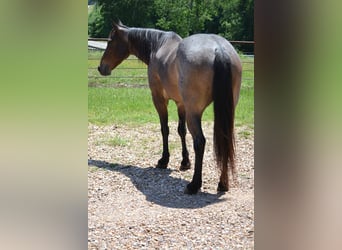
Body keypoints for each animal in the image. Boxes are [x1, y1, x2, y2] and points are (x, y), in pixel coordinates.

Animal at [97, 21, 242, 194]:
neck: (158, 45)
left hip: (194, 113)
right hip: (226, 111)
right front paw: (185, 162)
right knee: (224, 139)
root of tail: (219, 49)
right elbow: (181, 131)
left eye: (110, 41)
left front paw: (164, 160)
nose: (101, 68)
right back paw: (223, 183)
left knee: (199, 142)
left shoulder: (159, 100)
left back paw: (194, 184)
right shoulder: (181, 104)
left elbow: (164, 129)